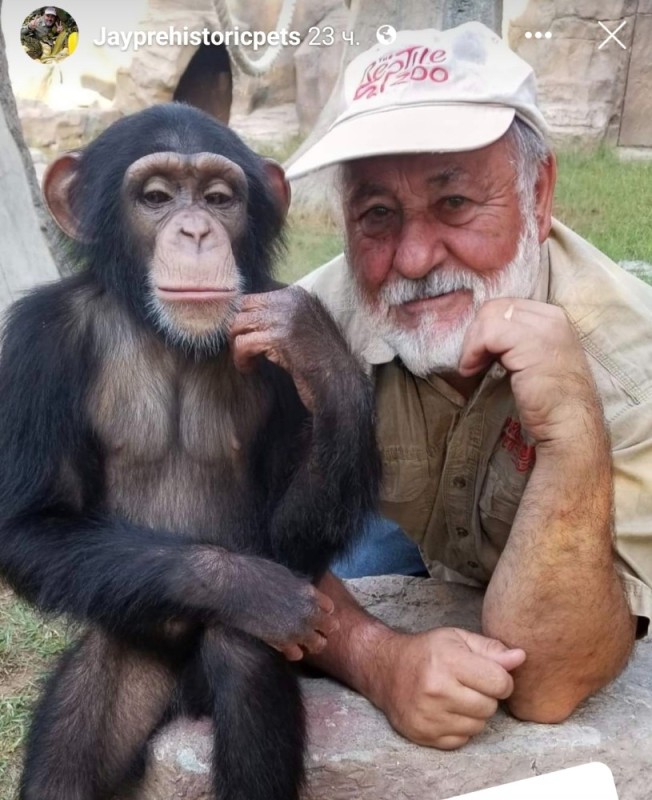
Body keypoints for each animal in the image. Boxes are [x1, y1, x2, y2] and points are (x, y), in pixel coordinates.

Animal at [0, 101, 382, 800]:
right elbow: (30, 525)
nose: (198, 231)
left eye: (218, 197)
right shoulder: (40, 343)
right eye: (155, 197)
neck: (164, 331)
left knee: (244, 654)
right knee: (84, 714)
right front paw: (244, 585)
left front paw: (315, 347)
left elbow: (292, 543)